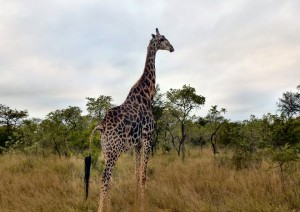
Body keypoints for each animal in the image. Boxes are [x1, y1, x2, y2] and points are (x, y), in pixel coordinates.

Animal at [84, 28, 173, 212]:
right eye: (163, 39)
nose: (172, 48)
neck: (147, 95)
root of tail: (101, 126)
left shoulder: (137, 144)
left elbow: (136, 174)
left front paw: (135, 202)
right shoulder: (148, 138)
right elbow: (144, 175)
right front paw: (143, 205)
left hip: (107, 150)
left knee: (109, 178)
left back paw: (109, 207)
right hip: (114, 151)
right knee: (104, 178)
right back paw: (102, 209)